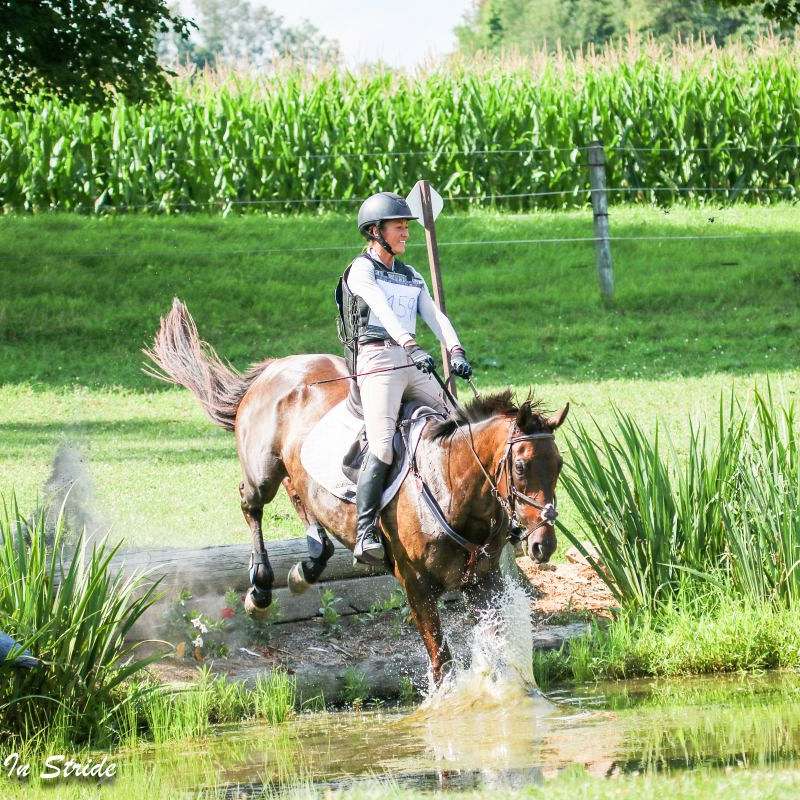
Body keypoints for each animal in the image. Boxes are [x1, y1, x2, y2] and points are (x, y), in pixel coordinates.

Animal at [145, 298, 568, 680]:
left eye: (560, 466)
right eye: (520, 466)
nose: (542, 545)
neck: (450, 490)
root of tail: (276, 367)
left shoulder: (483, 582)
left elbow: (499, 646)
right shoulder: (416, 585)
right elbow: (442, 661)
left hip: (298, 471)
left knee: (302, 497)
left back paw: (309, 564)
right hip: (262, 471)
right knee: (252, 504)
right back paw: (261, 591)